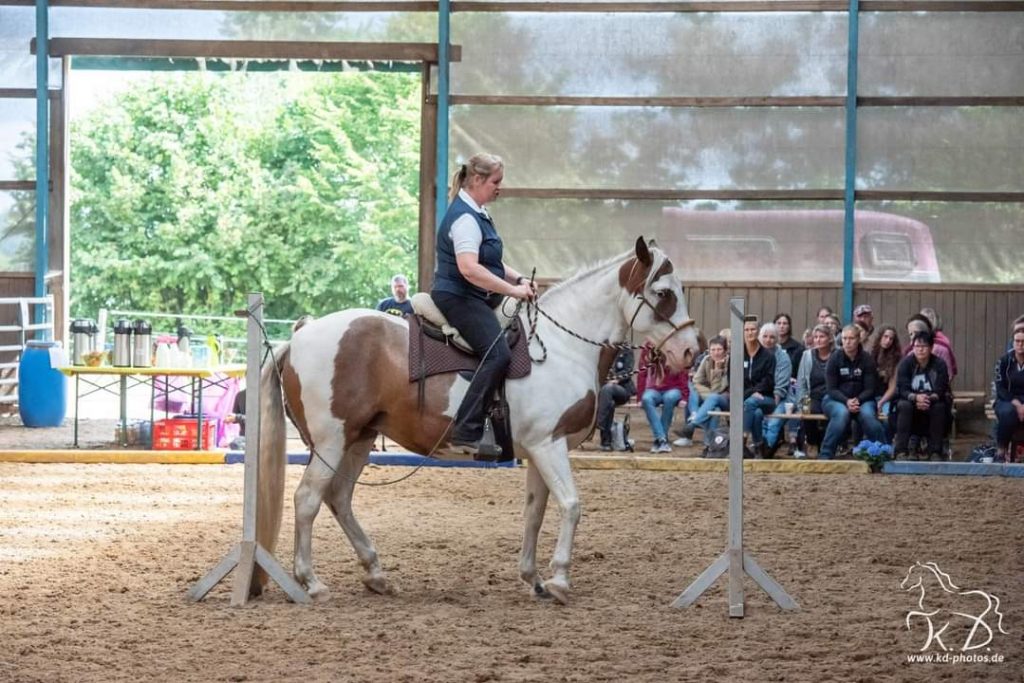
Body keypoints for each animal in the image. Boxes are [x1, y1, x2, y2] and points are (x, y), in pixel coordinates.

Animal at [256, 236, 704, 602]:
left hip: (360, 438)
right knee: (308, 499)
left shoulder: (538, 450)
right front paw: (560, 580)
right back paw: (311, 582)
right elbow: (572, 505)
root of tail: (297, 336)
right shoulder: (549, 445)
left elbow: (535, 513)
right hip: (332, 440)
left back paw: (376, 574)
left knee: (339, 498)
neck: (562, 347)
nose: (690, 351)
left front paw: (533, 579)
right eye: (663, 292)